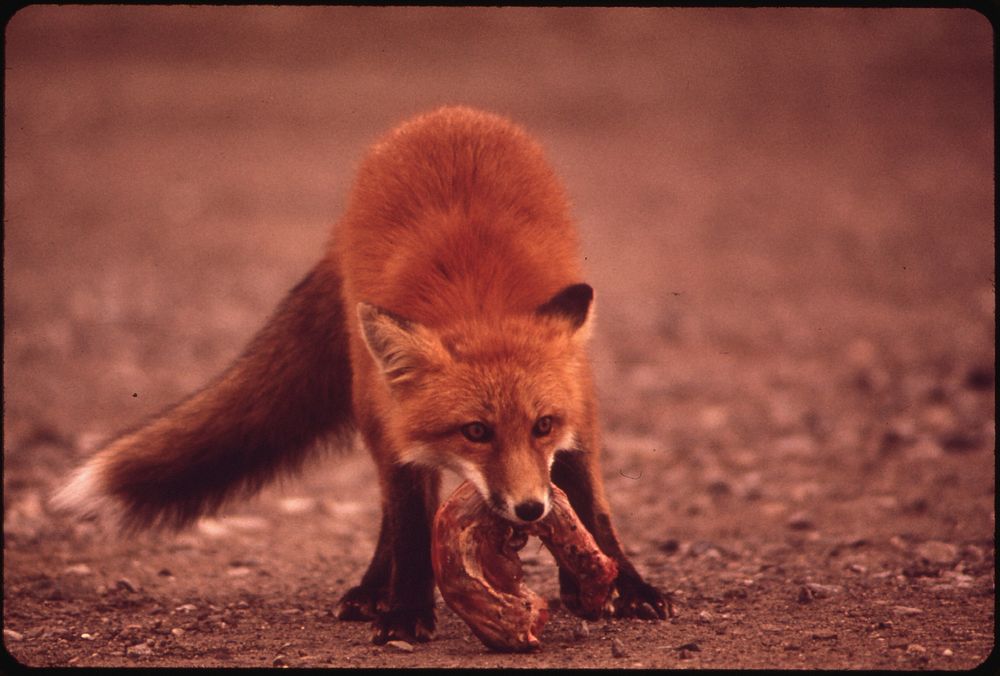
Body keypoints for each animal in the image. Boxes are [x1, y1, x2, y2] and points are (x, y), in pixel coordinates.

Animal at [50, 107, 668, 644]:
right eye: (475, 431)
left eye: (542, 425)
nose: (529, 511)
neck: (481, 304)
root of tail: (448, 113)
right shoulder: (397, 441)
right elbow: (411, 531)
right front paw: (406, 613)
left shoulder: (580, 418)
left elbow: (592, 507)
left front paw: (626, 586)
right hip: (374, 412)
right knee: (390, 519)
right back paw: (374, 590)